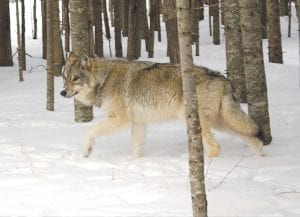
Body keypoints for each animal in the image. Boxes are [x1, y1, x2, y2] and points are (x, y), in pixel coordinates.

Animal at [60, 52, 262, 158]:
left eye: (75, 79)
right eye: (64, 77)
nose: (62, 93)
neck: (104, 79)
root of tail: (221, 78)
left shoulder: (120, 120)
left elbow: (89, 131)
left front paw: (86, 152)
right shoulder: (138, 122)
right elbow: (137, 148)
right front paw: (136, 164)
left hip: (195, 119)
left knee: (215, 147)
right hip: (221, 123)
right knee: (254, 138)